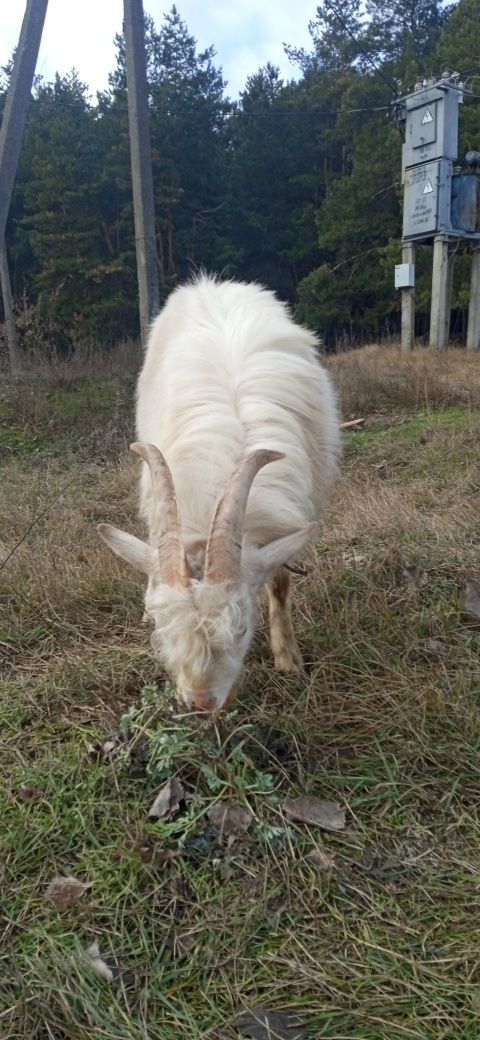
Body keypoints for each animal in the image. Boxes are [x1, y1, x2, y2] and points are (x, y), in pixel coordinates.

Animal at [97, 276, 338, 711]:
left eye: (241, 627)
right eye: (163, 624)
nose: (201, 703)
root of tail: (211, 283)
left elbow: (280, 582)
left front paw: (288, 659)